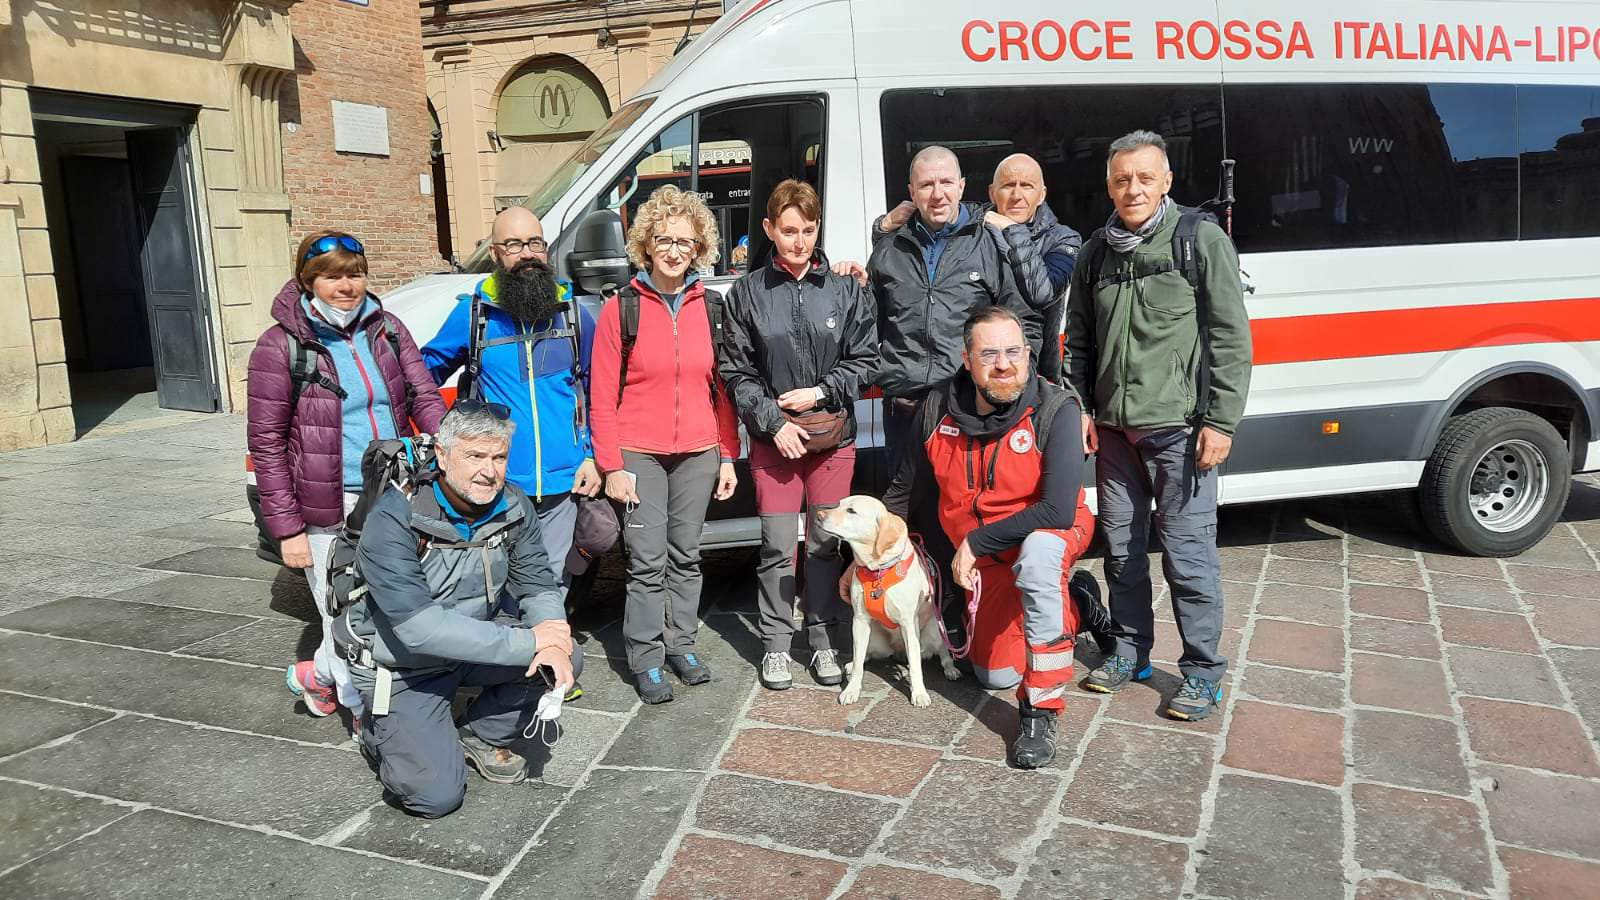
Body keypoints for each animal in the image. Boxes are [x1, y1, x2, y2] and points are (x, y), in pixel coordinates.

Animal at [819, 493, 953, 704]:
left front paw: (919, 693)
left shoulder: (909, 623)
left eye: (852, 510)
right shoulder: (859, 621)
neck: (877, 570)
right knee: (865, 654)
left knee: (940, 652)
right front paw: (851, 689)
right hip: (874, 637)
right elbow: (858, 663)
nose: (819, 515)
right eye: (838, 504)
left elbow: (916, 666)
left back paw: (950, 669)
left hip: (935, 630)